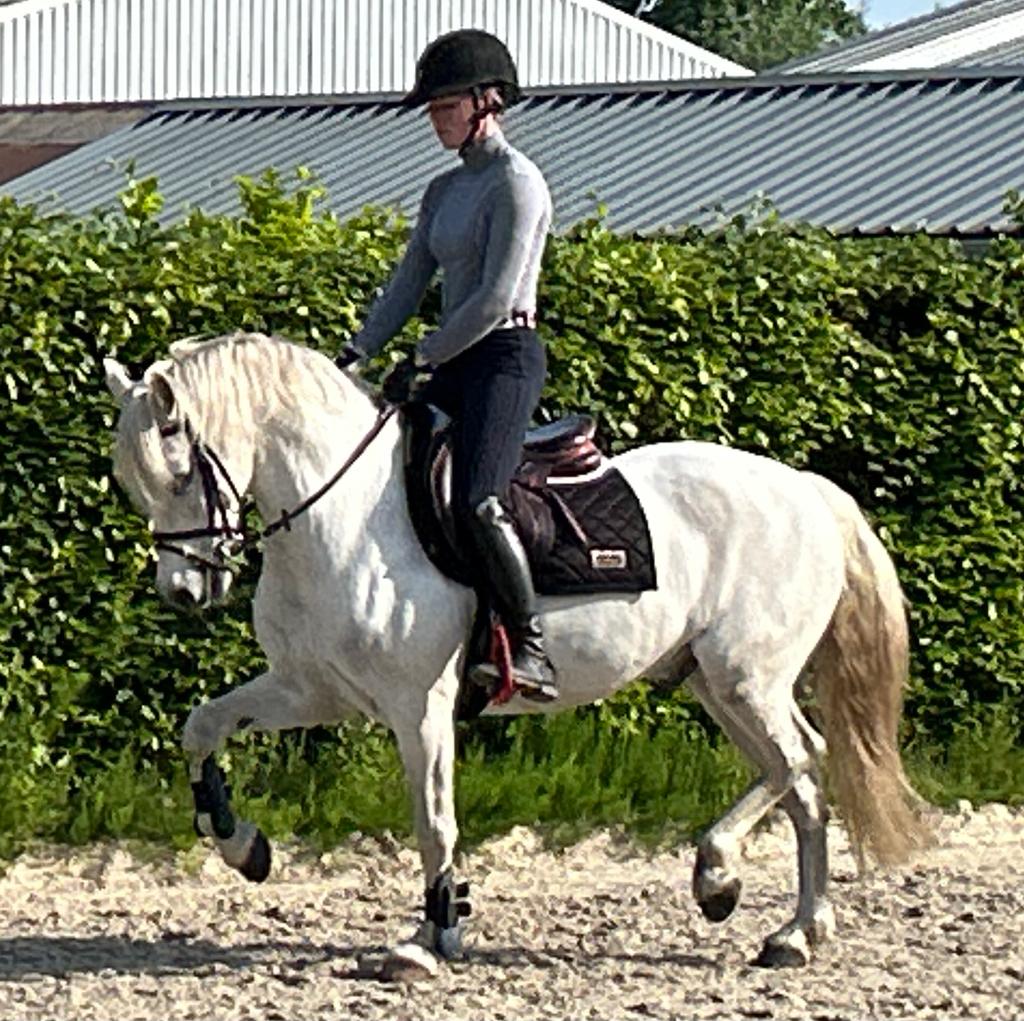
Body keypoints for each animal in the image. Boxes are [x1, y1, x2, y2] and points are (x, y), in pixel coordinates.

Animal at [103, 330, 932, 978]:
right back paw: (795, 930)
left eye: (180, 471)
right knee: (800, 780)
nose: (183, 590)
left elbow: (434, 820)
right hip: (721, 683)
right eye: (134, 484)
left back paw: (721, 878)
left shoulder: (419, 706)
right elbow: (202, 727)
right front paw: (242, 845)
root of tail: (806, 487)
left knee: (798, 761)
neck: (337, 514)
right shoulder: (309, 689)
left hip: (744, 677)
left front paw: (428, 939)